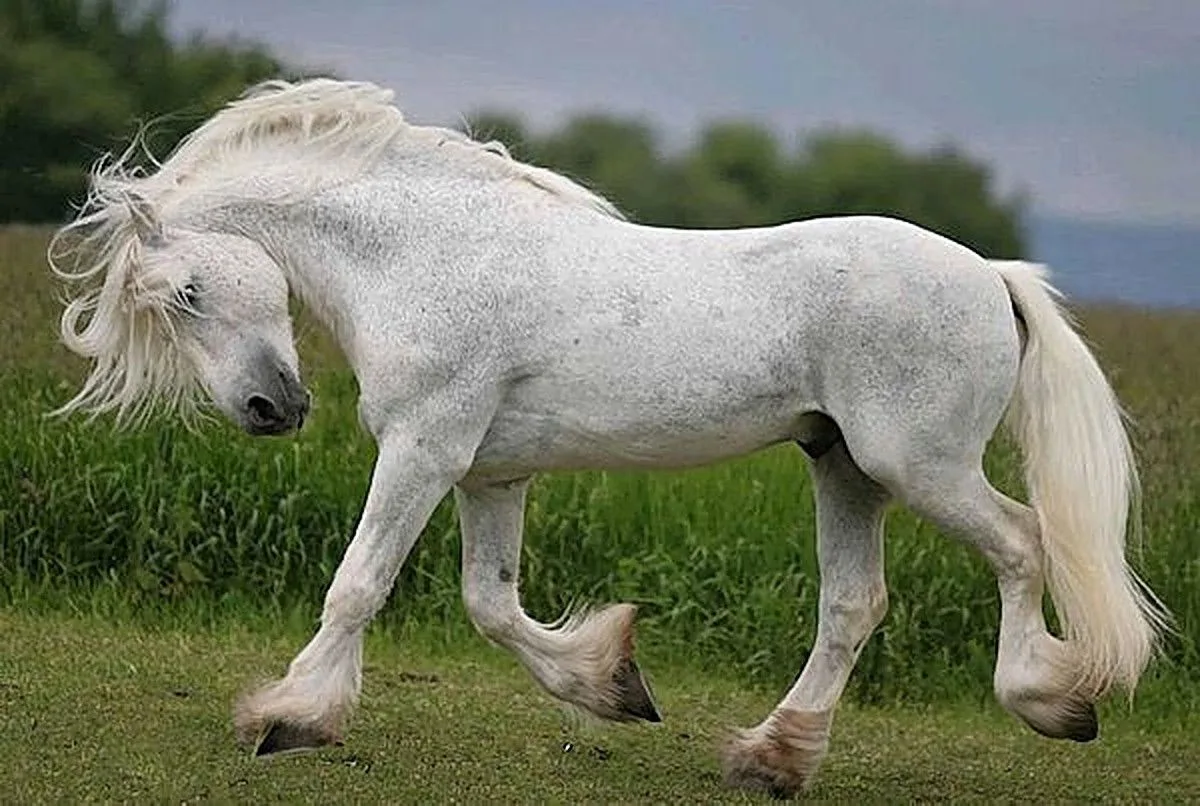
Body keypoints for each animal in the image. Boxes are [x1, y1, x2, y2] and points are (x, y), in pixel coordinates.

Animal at [48, 78, 1168, 798]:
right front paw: (613, 683)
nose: (269, 409)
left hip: (917, 465)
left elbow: (358, 585)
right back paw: (772, 757)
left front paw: (287, 717)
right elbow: (492, 606)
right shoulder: (489, 474)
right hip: (844, 464)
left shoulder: (423, 450)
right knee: (855, 604)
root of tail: (993, 275)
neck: (422, 254)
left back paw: (1051, 699)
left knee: (1023, 543)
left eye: (187, 292)